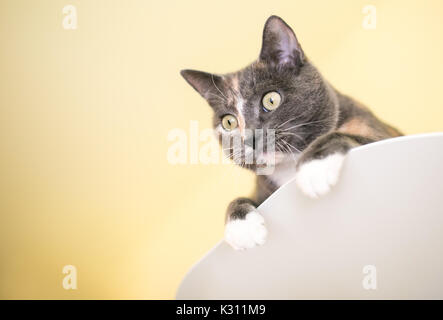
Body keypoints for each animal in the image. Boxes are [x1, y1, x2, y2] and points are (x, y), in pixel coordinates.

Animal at [180, 15, 402, 250]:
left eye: (271, 100)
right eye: (229, 122)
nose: (250, 138)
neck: (288, 167)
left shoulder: (383, 134)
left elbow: (341, 135)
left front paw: (315, 167)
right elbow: (238, 198)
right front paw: (242, 227)